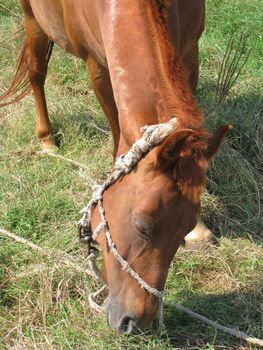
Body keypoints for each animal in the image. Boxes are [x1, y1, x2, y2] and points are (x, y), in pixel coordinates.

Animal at [0, 0, 231, 334]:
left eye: (184, 226)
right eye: (143, 226)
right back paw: (46, 140)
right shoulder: (99, 67)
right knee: (36, 70)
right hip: (32, 19)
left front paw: (199, 231)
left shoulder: (188, 52)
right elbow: (116, 136)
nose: (135, 321)